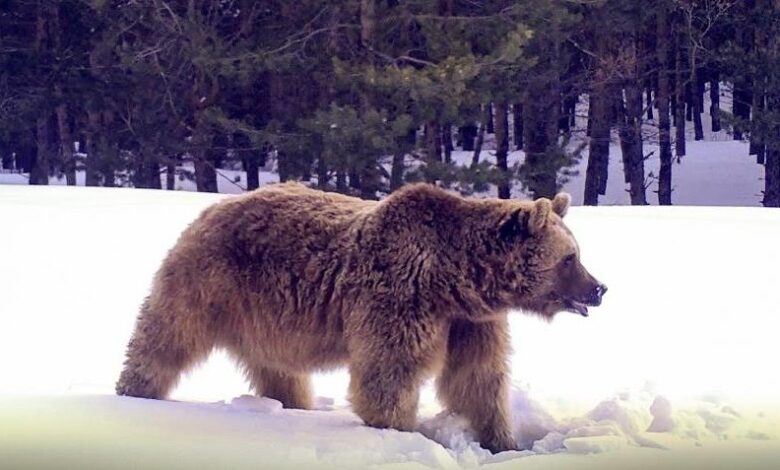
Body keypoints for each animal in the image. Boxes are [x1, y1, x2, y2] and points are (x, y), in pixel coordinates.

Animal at [116, 182, 608, 454]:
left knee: (277, 369)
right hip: (211, 283)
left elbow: (478, 379)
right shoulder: (401, 300)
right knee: (166, 335)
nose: (600, 288)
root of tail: (212, 207)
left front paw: (502, 442)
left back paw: (294, 404)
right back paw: (135, 392)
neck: (457, 279)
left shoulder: (470, 323)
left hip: (267, 318)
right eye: (570, 257)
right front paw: (402, 432)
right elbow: (389, 374)